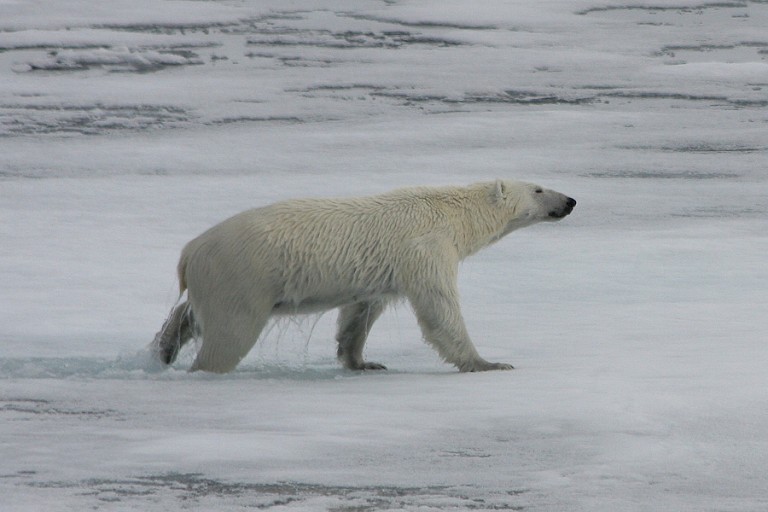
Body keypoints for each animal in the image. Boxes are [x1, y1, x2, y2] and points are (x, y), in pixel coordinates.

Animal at [150, 180, 572, 372]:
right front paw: (488, 363)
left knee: (190, 314)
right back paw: (202, 366)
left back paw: (165, 347)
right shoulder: (426, 248)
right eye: (538, 188)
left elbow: (360, 314)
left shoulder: (384, 271)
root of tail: (188, 253)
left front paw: (362, 362)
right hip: (242, 273)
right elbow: (439, 309)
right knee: (229, 332)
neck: (449, 213)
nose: (570, 201)